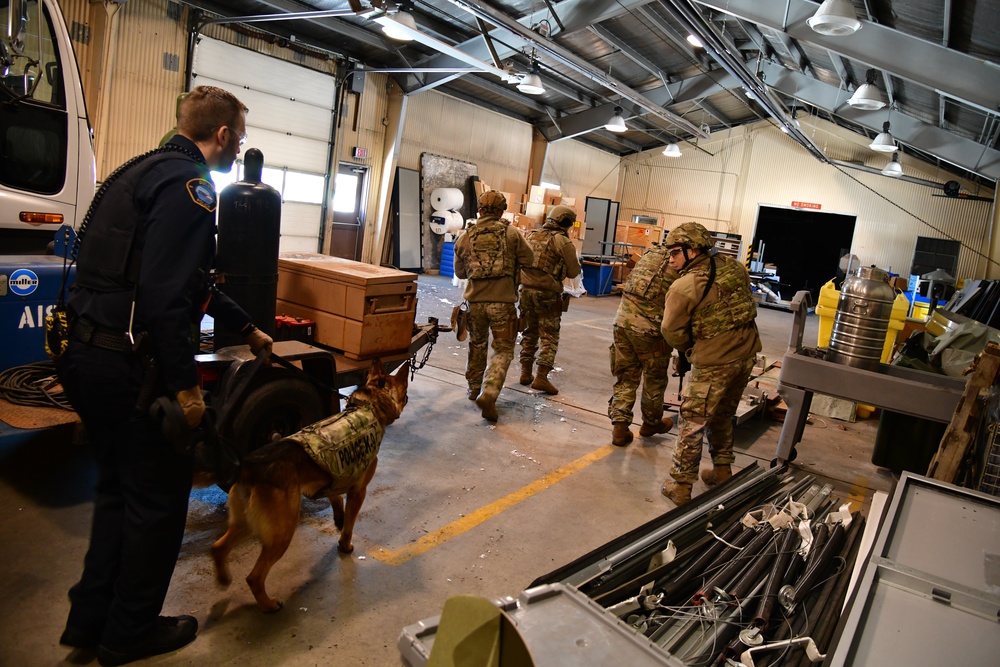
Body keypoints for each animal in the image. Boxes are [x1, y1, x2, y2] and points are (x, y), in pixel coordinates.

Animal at [211, 360, 410, 612]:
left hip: (246, 523)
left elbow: (336, 499)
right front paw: (345, 544)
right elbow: (349, 525)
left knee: (218, 548)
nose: (408, 397)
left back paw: (223, 578)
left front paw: (338, 518)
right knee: (254, 577)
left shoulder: (333, 477)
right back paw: (269, 604)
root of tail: (250, 467)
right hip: (282, 532)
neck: (370, 406)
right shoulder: (358, 492)